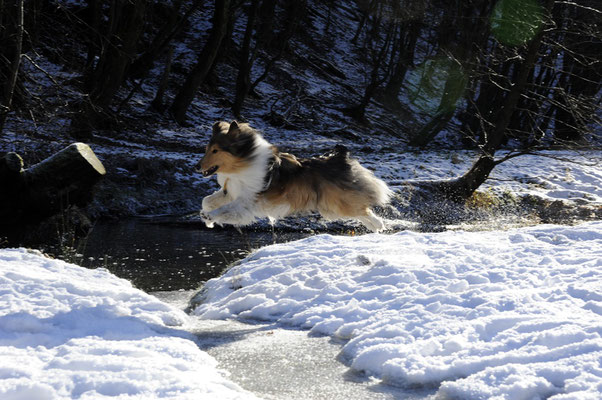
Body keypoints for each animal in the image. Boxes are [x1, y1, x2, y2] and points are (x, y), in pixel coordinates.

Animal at [195, 120, 392, 231]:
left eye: (215, 150)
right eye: (207, 149)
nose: (197, 167)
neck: (244, 162)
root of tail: (340, 157)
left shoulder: (247, 201)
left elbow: (225, 209)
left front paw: (210, 217)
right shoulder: (231, 191)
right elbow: (207, 200)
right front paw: (208, 220)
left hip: (339, 202)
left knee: (364, 210)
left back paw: (379, 224)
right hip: (333, 206)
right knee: (361, 212)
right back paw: (374, 227)